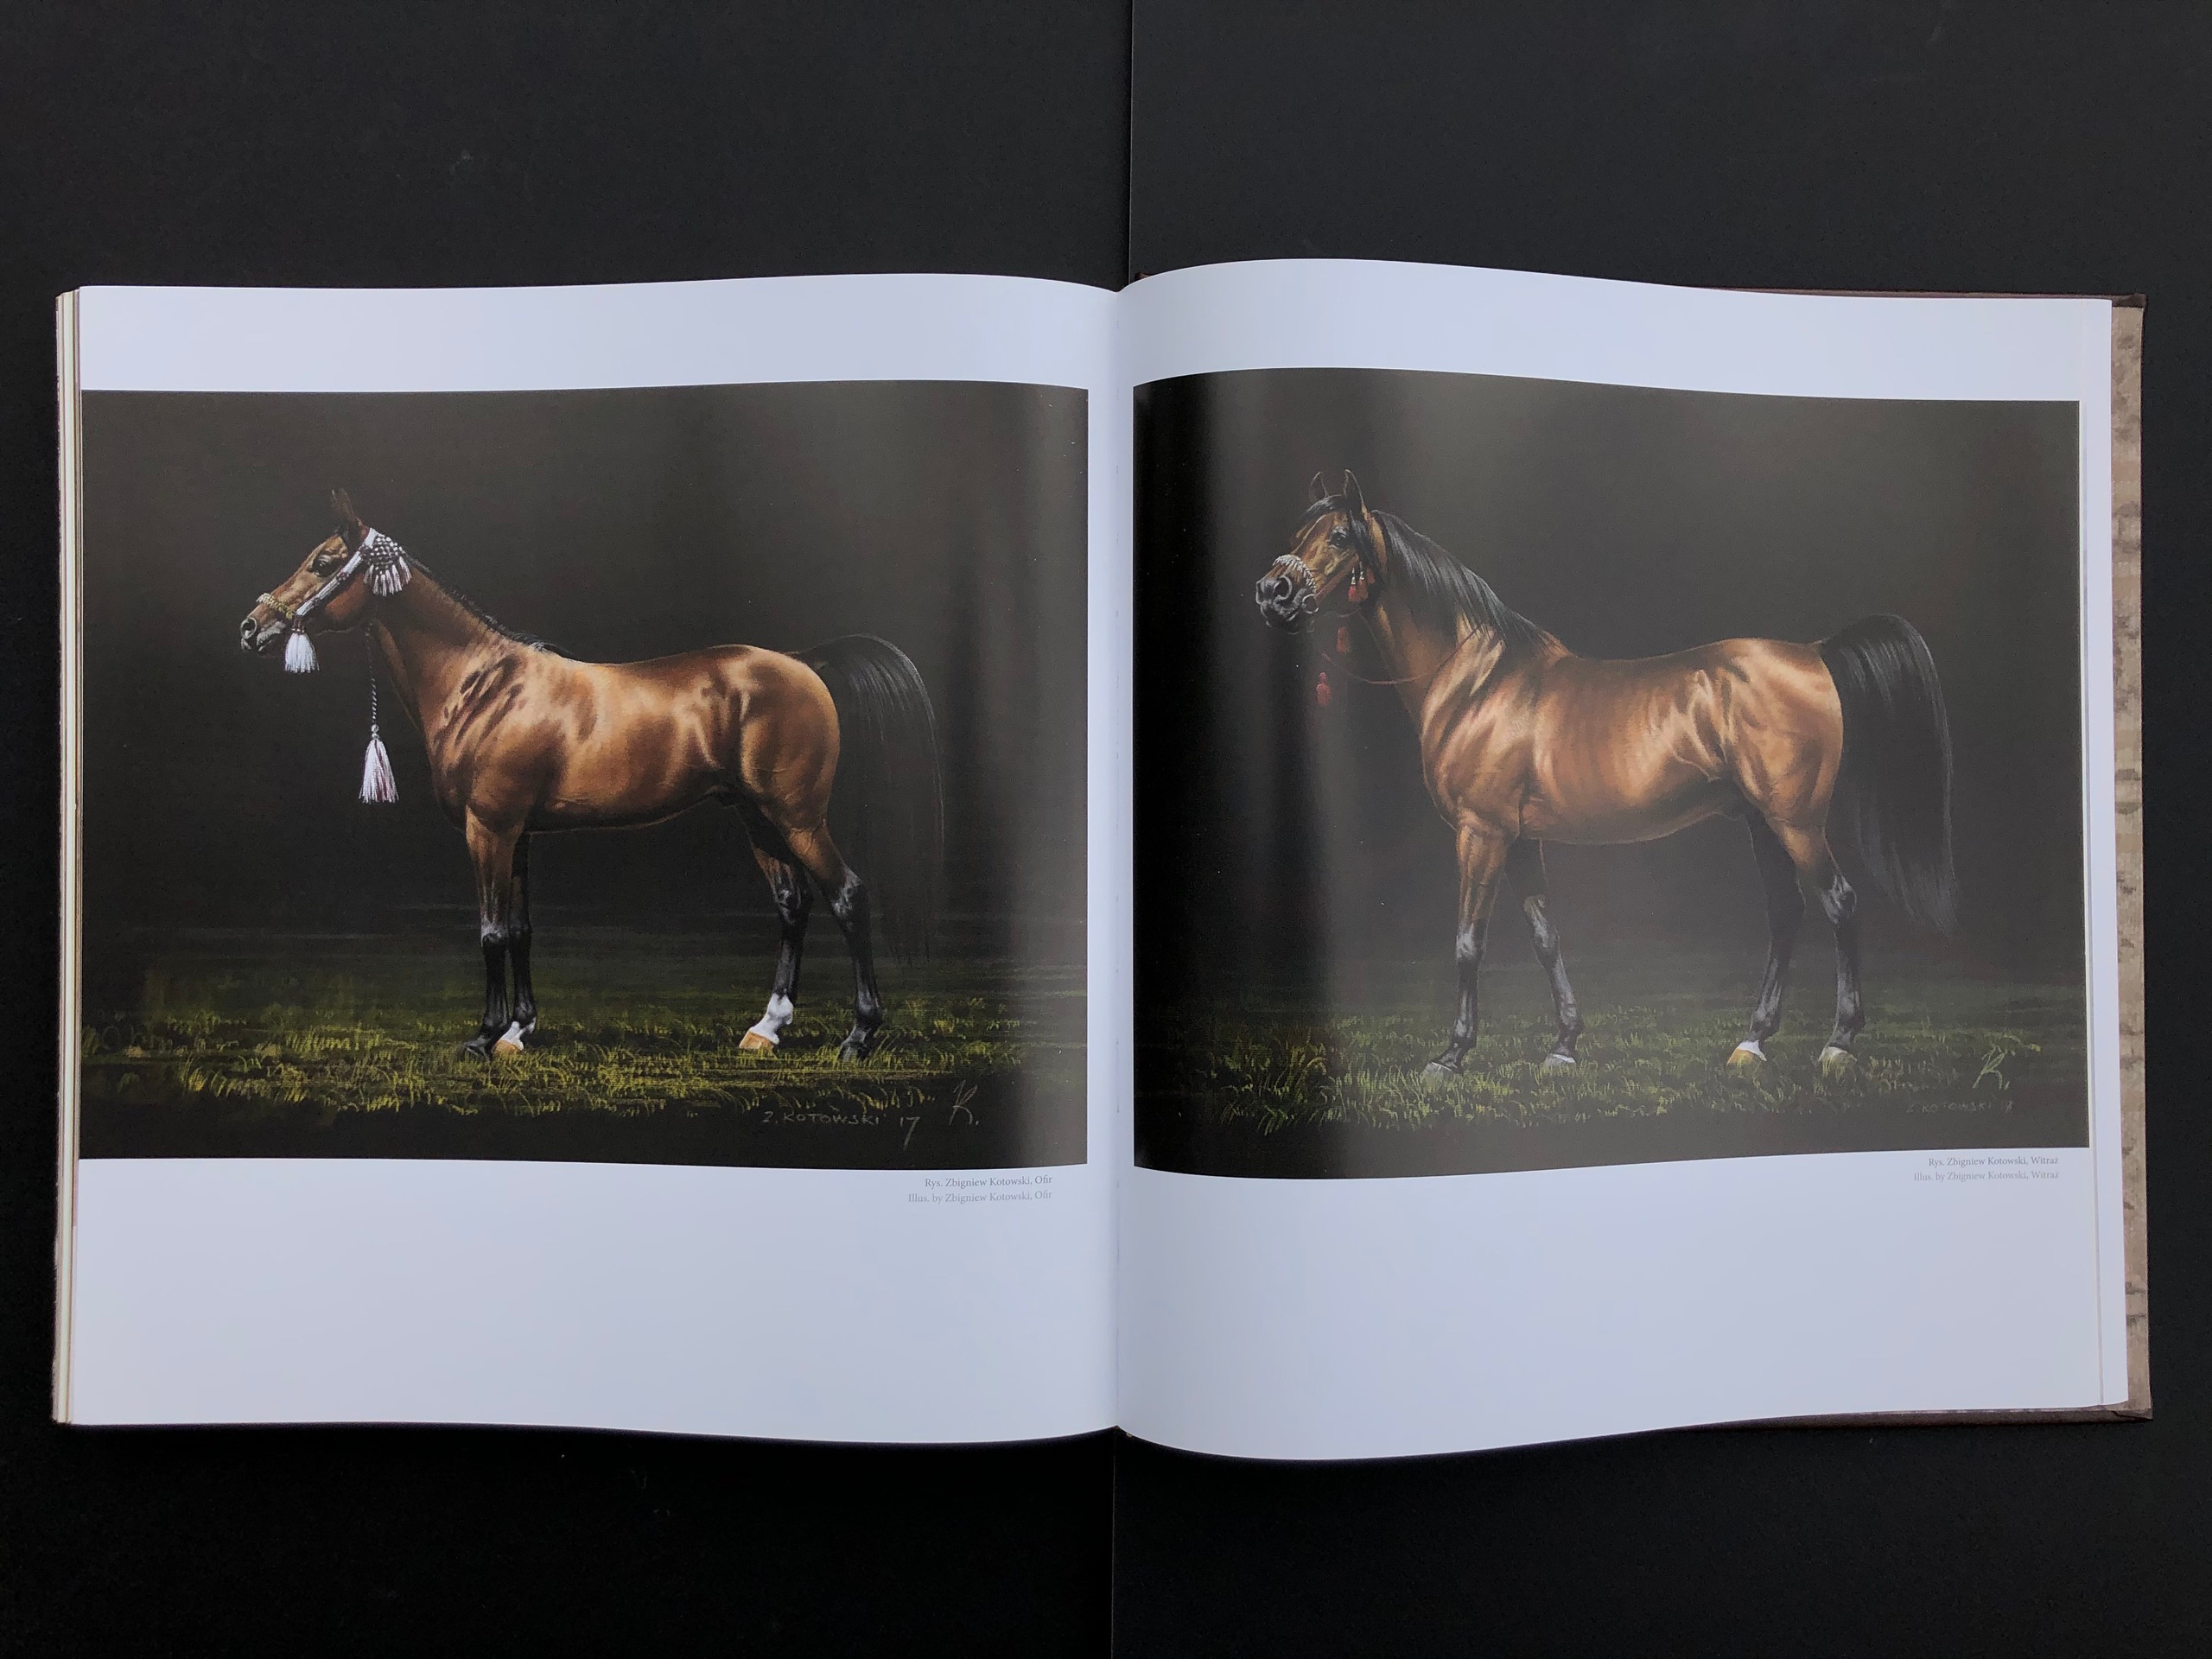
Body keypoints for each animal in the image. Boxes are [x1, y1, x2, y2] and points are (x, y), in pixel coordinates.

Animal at [239, 489, 941, 1062]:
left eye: (323, 563)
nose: (252, 628)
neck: (481, 686)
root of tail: (801, 662)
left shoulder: (487, 829)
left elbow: (491, 932)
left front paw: (484, 1037)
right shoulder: (517, 834)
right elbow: (520, 930)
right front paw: (519, 1031)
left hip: (796, 816)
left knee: (847, 896)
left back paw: (859, 1035)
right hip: (755, 816)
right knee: (792, 905)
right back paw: (765, 1029)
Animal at [1254, 472, 1956, 1081]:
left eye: (1338, 537)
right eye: (1296, 532)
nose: (1272, 592)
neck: (1478, 683)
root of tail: (1813, 653)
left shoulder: (1481, 834)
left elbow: (1467, 942)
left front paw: (1450, 1057)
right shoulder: (1519, 840)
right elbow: (1545, 936)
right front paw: (1564, 1046)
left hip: (1796, 822)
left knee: (1841, 904)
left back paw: (1839, 1043)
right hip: (1762, 822)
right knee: (1785, 914)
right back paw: (1752, 1043)